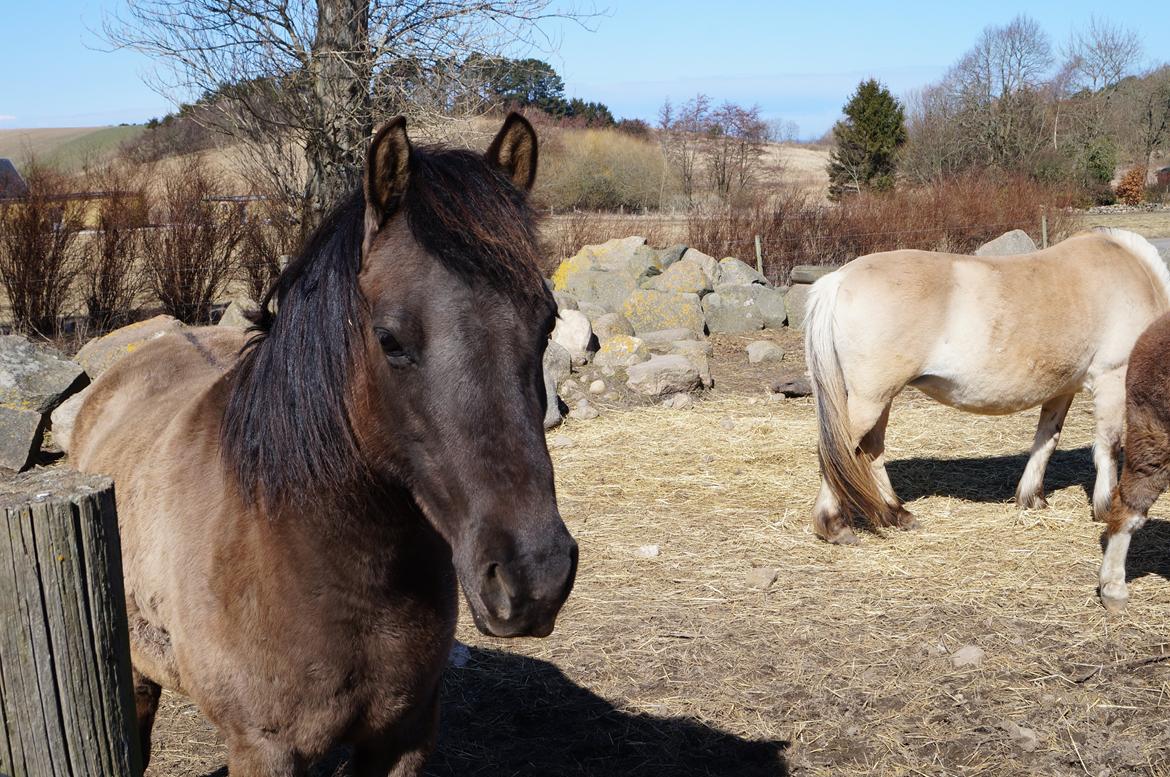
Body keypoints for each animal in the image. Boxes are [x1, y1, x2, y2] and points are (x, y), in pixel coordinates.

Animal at [804, 229, 1170, 545]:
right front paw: (1105, 507)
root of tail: (838, 280)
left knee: (871, 451)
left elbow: (1046, 441)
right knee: (838, 451)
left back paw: (897, 514)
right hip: (869, 399)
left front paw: (1032, 498)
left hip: (881, 398)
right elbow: (1108, 447)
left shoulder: (1061, 390)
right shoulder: (1112, 379)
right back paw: (835, 527)